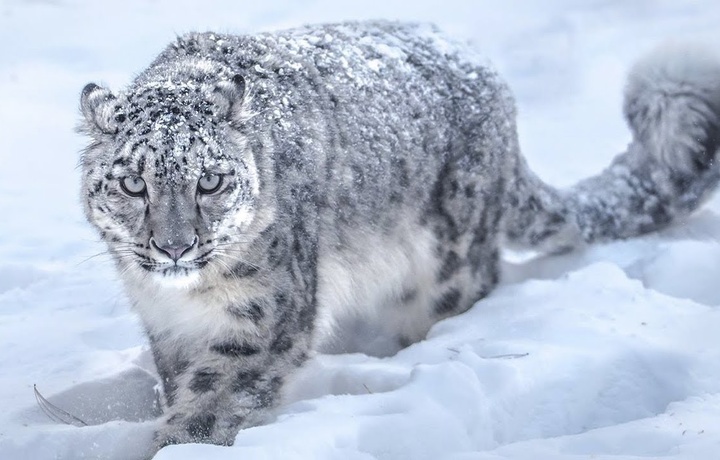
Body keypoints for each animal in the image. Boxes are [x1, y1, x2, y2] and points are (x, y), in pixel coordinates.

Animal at [77, 22, 720, 452]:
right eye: (133, 182)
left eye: (210, 179)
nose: (175, 246)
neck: (186, 299)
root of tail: (495, 87)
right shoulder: (167, 326)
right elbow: (183, 381)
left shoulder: (264, 316)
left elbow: (210, 402)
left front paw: (177, 442)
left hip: (449, 263)